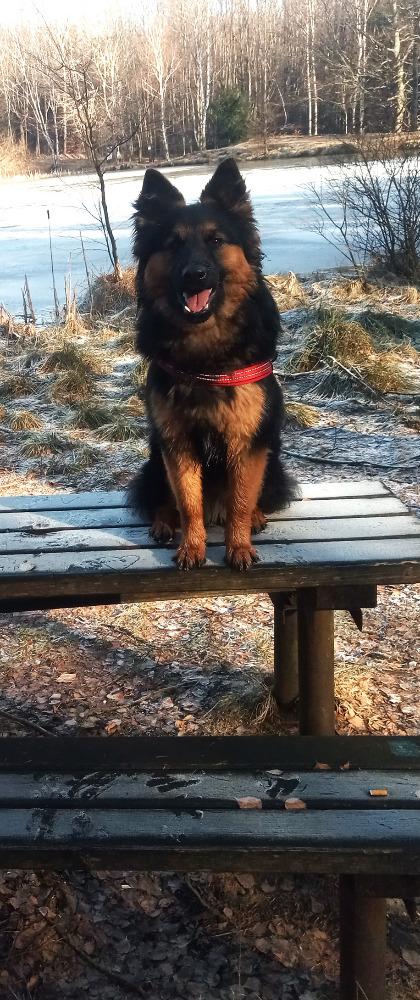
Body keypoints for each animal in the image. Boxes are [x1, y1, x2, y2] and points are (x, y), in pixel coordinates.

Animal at [128, 158, 296, 571]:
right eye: (173, 245)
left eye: (215, 241)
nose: (195, 275)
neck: (204, 354)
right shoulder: (176, 442)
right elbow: (188, 501)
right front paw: (192, 547)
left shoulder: (247, 441)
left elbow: (240, 501)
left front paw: (238, 547)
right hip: (154, 459)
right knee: (164, 500)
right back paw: (163, 523)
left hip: (273, 459)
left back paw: (256, 518)